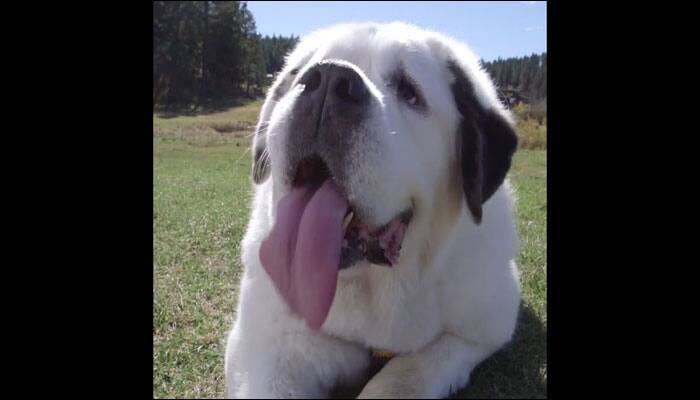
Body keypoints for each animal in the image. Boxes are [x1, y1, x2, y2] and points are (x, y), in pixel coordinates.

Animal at [224, 22, 520, 400]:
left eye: (409, 92)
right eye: (302, 74)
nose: (330, 79)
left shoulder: (483, 327)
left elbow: (409, 372)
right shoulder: (265, 338)